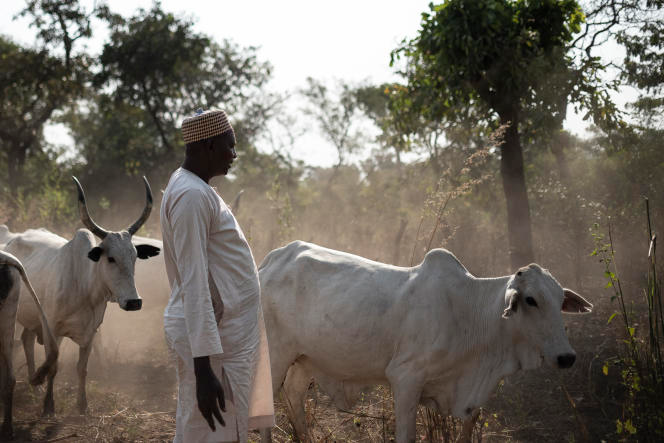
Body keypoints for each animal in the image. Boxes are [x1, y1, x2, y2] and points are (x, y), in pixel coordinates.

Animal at [4, 177, 161, 416]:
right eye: (111, 258)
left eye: (135, 257)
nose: (134, 302)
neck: (85, 289)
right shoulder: (51, 328)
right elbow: (54, 364)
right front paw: (49, 406)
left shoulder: (91, 331)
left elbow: (82, 368)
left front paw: (82, 405)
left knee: (26, 340)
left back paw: (34, 385)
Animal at [258, 243, 592, 443]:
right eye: (531, 300)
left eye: (560, 299)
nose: (566, 357)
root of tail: (272, 259)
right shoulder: (406, 379)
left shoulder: (468, 402)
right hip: (274, 356)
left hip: (304, 360)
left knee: (294, 395)